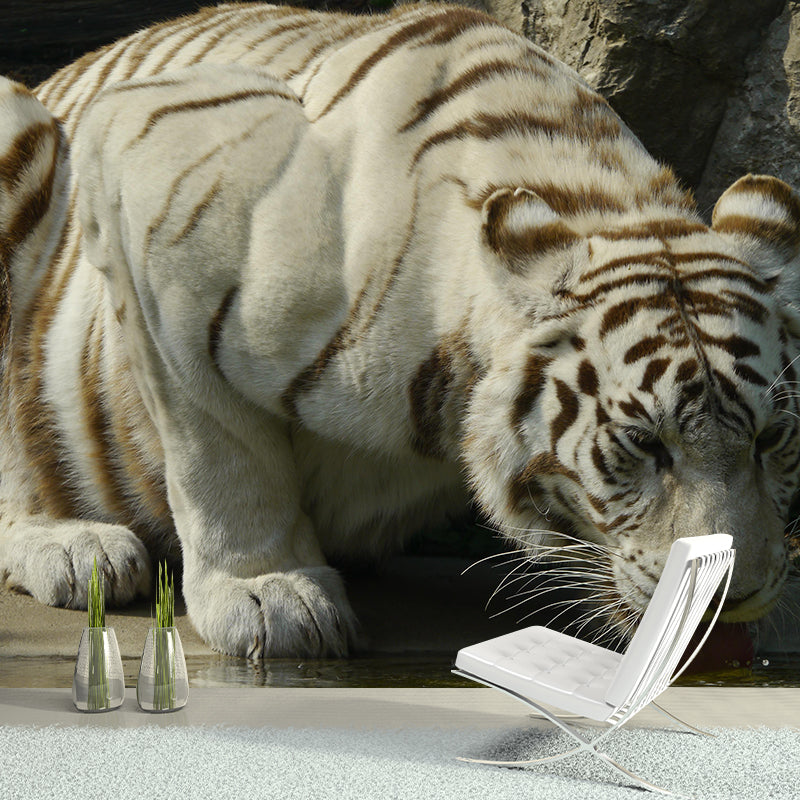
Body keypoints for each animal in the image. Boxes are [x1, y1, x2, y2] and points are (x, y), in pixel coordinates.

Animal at [0, 2, 798, 660]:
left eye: (770, 439)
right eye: (643, 443)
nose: (729, 602)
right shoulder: (153, 171)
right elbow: (218, 450)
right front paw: (268, 595)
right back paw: (76, 547)